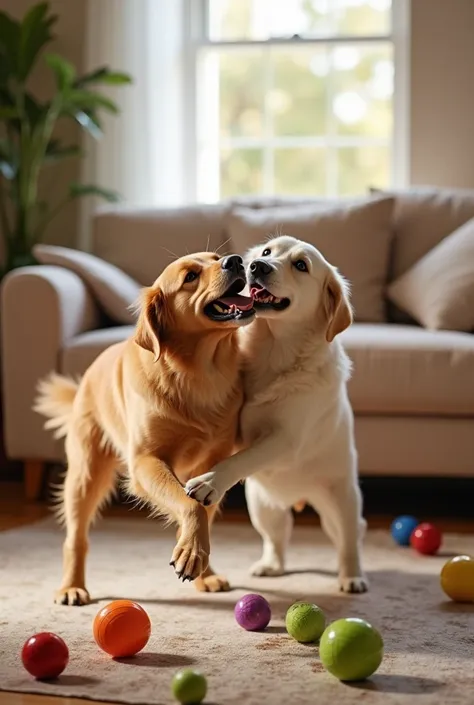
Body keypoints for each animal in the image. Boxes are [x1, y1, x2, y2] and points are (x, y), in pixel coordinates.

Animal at [35, 253, 256, 604]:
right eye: (190, 276)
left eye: (217, 259)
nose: (235, 260)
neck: (198, 374)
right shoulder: (145, 462)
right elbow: (191, 507)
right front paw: (192, 552)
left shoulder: (212, 467)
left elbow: (200, 508)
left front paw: (196, 559)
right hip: (85, 474)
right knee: (76, 537)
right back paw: (72, 586)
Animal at [185, 234, 366, 592]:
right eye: (268, 252)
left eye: (301, 265)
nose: (256, 265)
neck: (274, 352)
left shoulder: (287, 439)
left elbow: (239, 459)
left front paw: (210, 481)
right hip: (262, 505)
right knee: (277, 537)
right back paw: (271, 565)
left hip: (342, 505)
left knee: (348, 543)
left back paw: (352, 577)